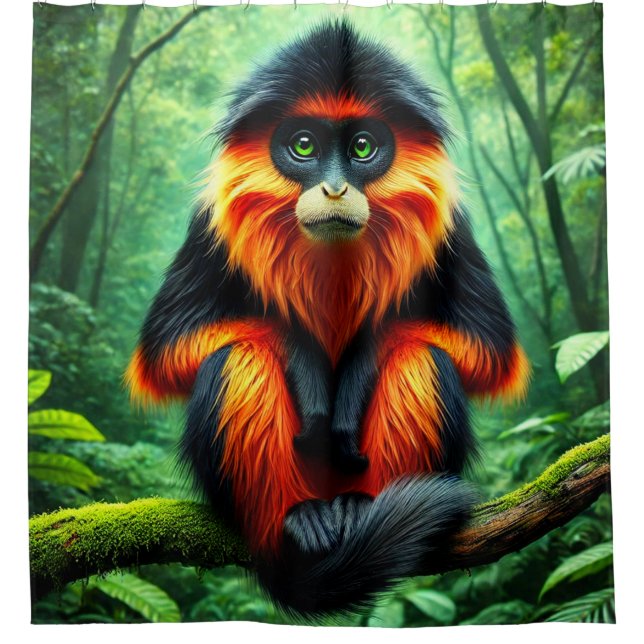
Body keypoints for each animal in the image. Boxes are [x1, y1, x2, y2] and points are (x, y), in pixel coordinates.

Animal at [126, 21, 530, 615]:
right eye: (304, 146)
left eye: (362, 147)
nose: (336, 187)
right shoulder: (207, 228)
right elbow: (166, 351)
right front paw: (308, 366)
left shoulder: (454, 231)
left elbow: (489, 351)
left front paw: (356, 369)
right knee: (236, 358)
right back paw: (296, 522)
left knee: (422, 357)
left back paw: (360, 507)